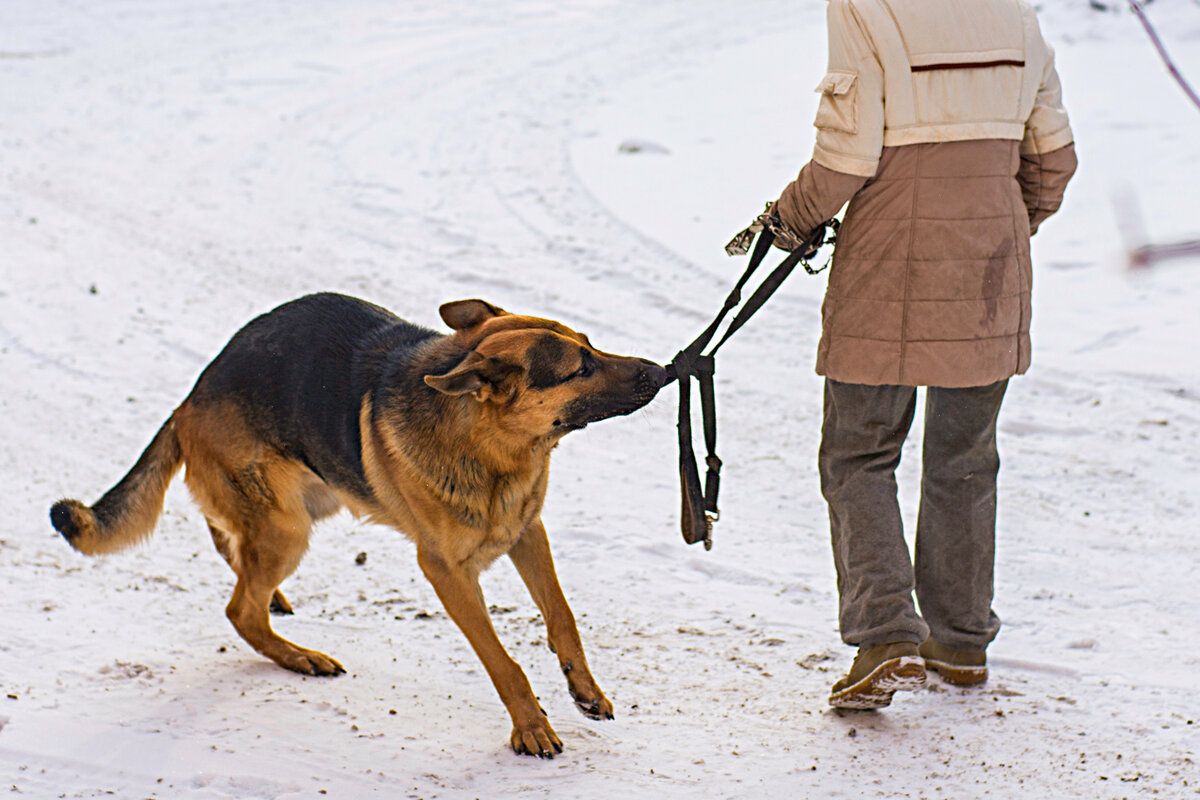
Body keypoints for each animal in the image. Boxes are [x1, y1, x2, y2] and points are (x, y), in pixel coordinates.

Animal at [49, 292, 667, 758]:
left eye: (590, 345)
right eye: (580, 368)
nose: (661, 371)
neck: (490, 445)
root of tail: (191, 399)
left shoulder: (524, 532)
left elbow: (562, 617)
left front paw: (584, 690)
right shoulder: (446, 571)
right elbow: (501, 660)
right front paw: (531, 727)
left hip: (313, 496)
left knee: (228, 541)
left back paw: (271, 595)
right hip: (288, 526)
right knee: (240, 608)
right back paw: (297, 654)